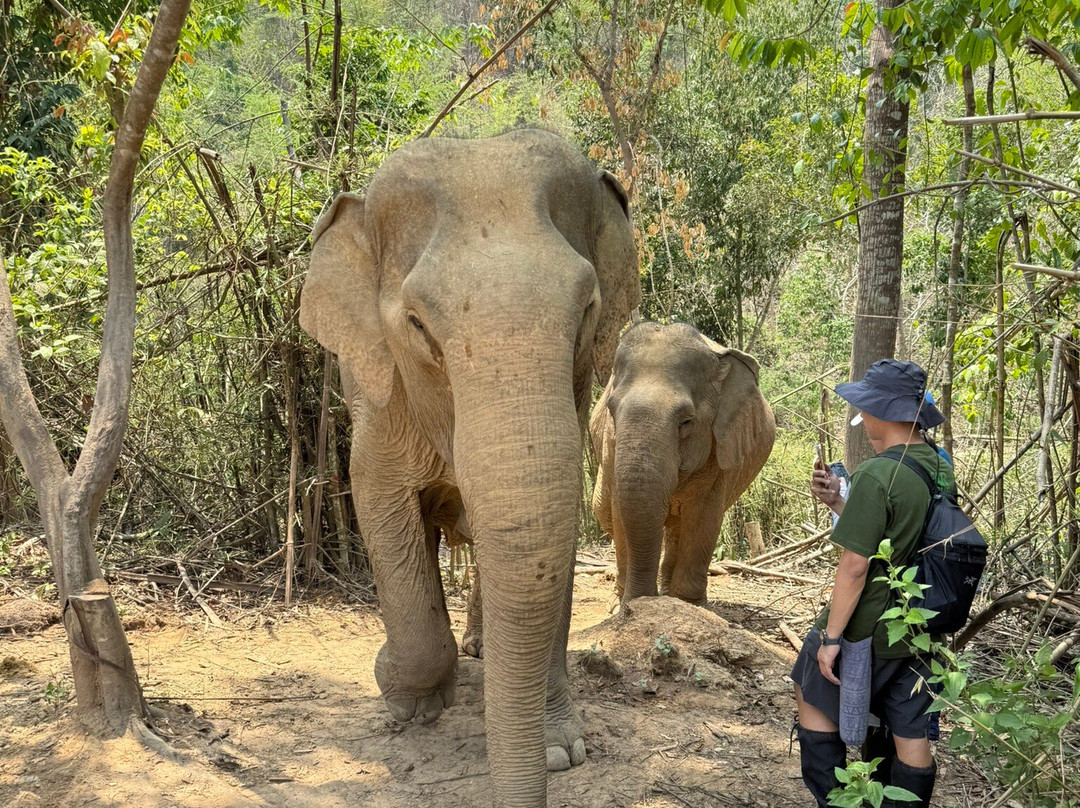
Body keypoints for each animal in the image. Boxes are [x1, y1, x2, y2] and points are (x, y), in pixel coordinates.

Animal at [298, 129, 639, 808]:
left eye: (588, 309)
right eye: (417, 325)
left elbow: (552, 535)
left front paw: (560, 751)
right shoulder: (379, 399)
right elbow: (378, 501)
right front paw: (403, 699)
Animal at [589, 321, 775, 606]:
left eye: (687, 421)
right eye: (611, 409)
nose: (642, 601)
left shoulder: (718, 451)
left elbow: (704, 517)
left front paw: (690, 606)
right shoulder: (610, 446)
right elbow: (620, 510)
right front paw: (621, 607)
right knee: (602, 509)